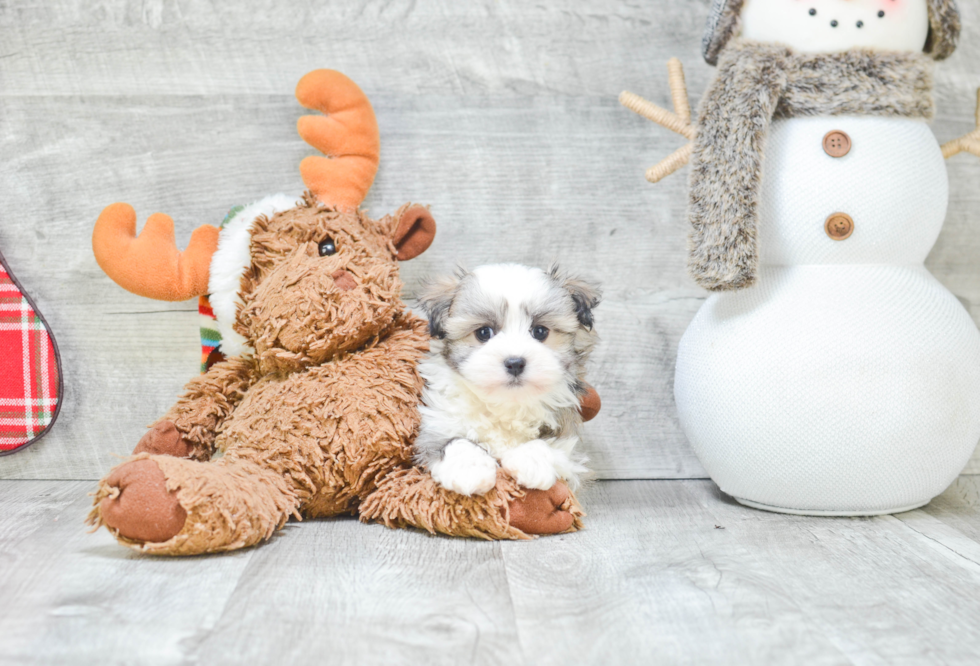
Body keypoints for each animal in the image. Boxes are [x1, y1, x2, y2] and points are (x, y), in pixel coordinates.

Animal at [412, 264, 596, 492]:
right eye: (483, 333)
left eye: (540, 331)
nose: (515, 362)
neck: (505, 403)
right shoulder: (439, 421)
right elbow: (450, 441)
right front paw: (469, 468)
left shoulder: (566, 434)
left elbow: (553, 445)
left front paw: (533, 461)